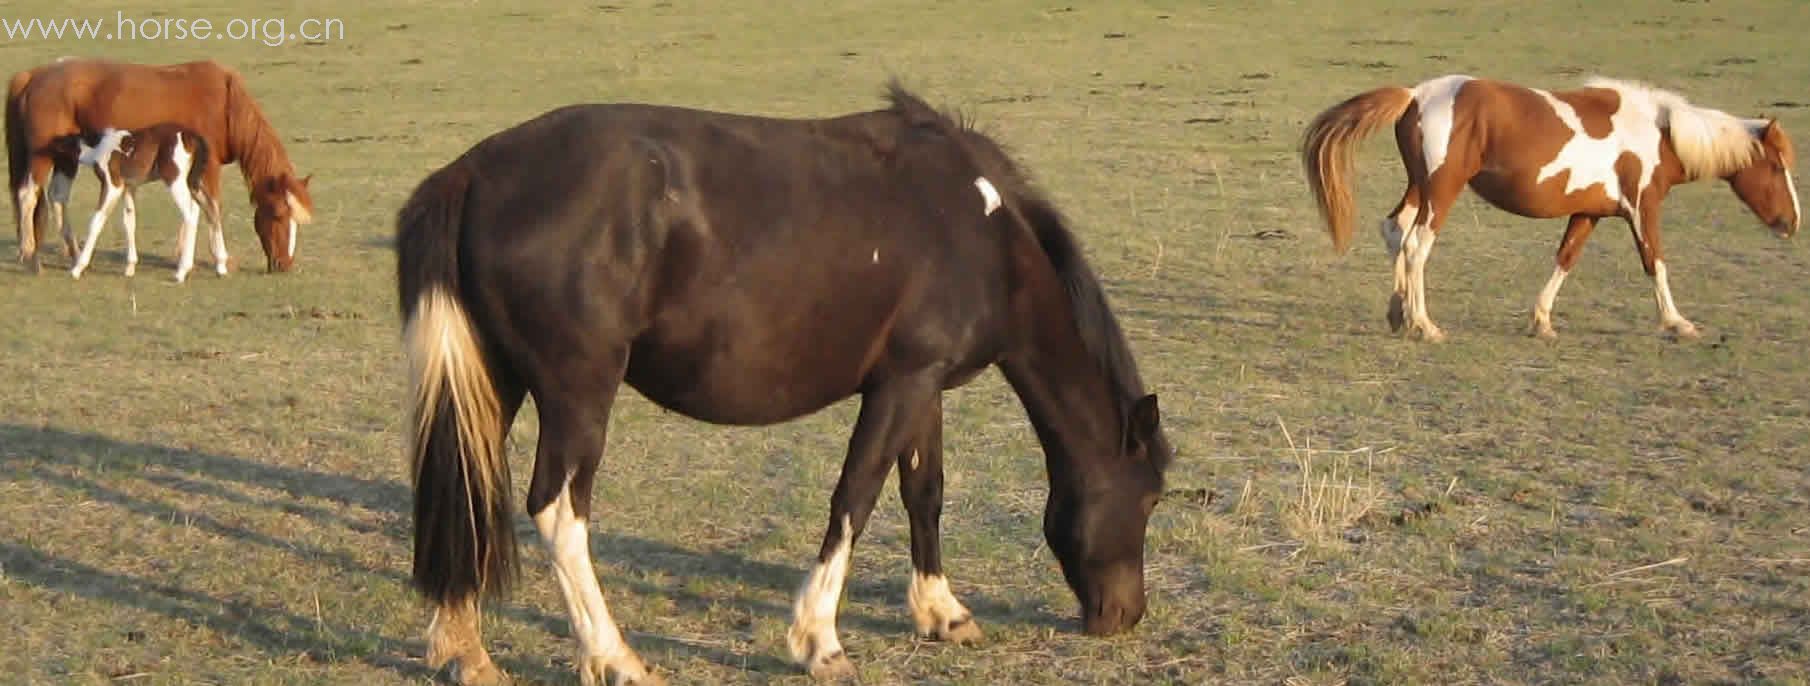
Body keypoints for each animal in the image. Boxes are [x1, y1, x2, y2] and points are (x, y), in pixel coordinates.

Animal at [49, 123, 224, 282]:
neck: (97, 147)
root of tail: (191, 136)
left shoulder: (113, 185)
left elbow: (96, 221)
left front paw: (77, 269)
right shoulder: (129, 187)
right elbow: (129, 221)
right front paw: (130, 268)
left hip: (175, 180)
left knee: (190, 216)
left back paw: (182, 272)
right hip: (194, 183)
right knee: (210, 211)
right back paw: (220, 268)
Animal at [392, 85, 1172, 686]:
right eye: (1148, 498)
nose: (1123, 616)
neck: (983, 233)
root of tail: (473, 171)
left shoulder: (921, 385)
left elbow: (923, 491)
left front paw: (942, 613)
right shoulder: (900, 388)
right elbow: (855, 498)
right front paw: (819, 640)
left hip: (496, 381)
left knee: (468, 490)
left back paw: (466, 654)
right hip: (578, 394)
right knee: (558, 512)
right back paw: (614, 658)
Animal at [1303, 74, 1795, 342]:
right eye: (1776, 166)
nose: (1792, 223)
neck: (1658, 133)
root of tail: (1415, 95)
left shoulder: (1590, 213)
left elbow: (1565, 259)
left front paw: (1541, 321)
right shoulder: (1642, 208)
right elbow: (1655, 262)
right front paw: (1677, 323)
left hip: (1418, 187)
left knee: (1394, 230)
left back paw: (1398, 312)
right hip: (1442, 190)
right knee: (1416, 245)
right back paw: (1424, 324)